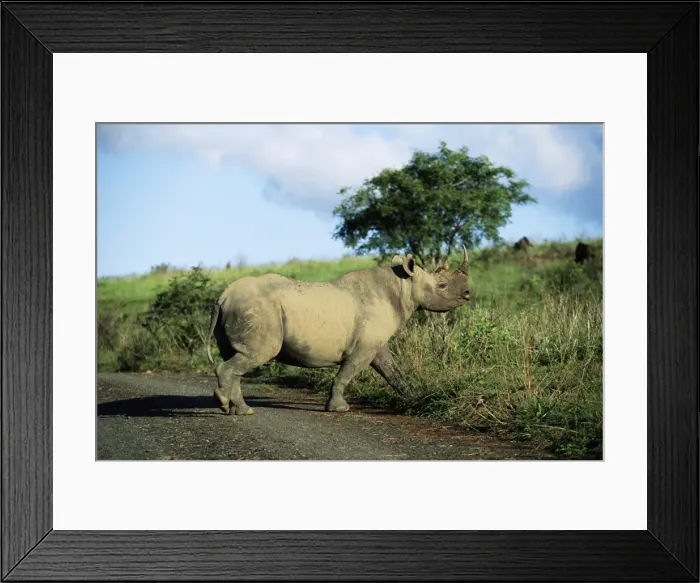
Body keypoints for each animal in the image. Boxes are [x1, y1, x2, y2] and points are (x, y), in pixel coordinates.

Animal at [205, 246, 472, 415]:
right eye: (442, 285)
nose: (468, 294)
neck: (404, 285)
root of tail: (223, 296)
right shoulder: (364, 347)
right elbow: (347, 373)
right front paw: (339, 408)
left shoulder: (376, 344)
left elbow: (392, 371)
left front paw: (416, 398)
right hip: (257, 310)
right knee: (254, 355)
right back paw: (225, 404)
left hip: (244, 309)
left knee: (238, 358)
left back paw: (241, 410)